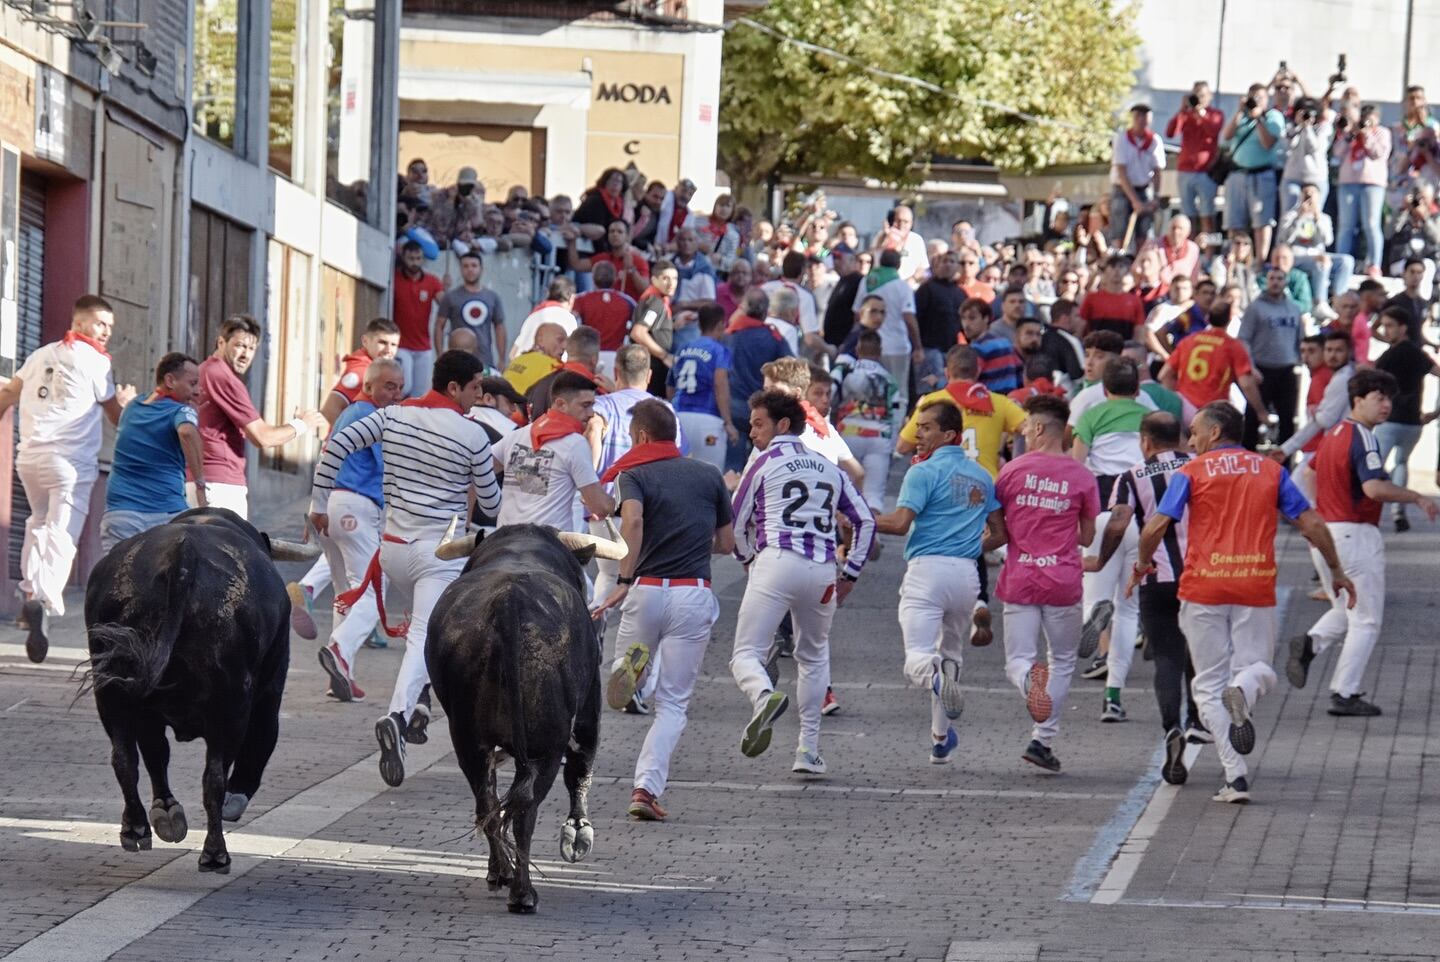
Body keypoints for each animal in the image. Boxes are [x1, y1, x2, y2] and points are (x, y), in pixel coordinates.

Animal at [82, 509, 313, 869]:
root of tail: (182, 556)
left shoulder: (147, 710)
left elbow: (155, 754)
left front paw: (166, 812)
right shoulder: (269, 689)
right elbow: (260, 741)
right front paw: (233, 799)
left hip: (111, 691)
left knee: (125, 758)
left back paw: (136, 828)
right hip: (230, 705)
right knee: (214, 776)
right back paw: (215, 853)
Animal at [426, 521, 607, 915]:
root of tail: (509, 604)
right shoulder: (589, 705)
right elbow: (581, 767)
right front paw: (578, 832)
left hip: (467, 740)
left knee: (488, 802)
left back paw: (501, 874)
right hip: (547, 745)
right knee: (526, 808)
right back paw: (523, 893)